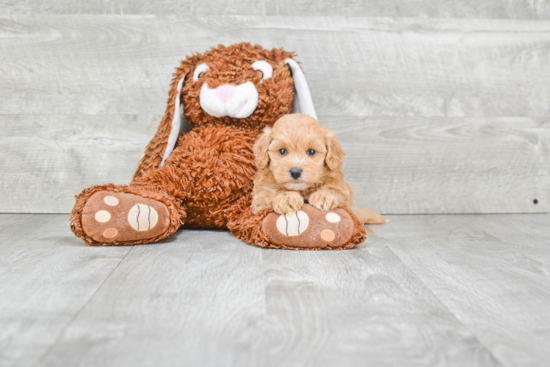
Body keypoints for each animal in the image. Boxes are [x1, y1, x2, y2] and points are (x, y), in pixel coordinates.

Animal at [252, 114, 386, 224]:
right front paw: (287, 197)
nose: (295, 172)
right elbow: (270, 193)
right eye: (282, 151)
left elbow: (334, 191)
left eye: (311, 152)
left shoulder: (343, 192)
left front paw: (322, 196)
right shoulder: (258, 198)